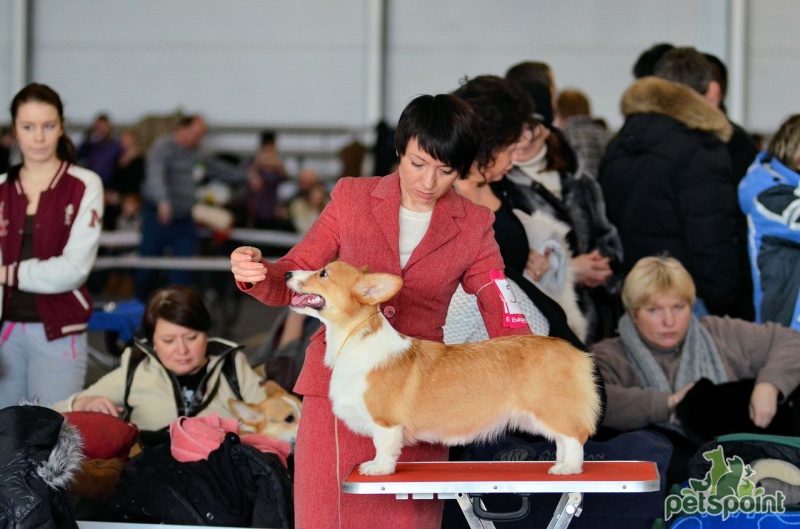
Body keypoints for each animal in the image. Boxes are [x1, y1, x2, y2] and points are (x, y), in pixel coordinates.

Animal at [282, 260, 600, 474]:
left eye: (323, 274)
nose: (286, 273)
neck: (353, 337)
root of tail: (576, 353)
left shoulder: (386, 423)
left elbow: (383, 447)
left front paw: (378, 469)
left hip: (549, 408)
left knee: (574, 437)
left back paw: (568, 469)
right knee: (563, 439)